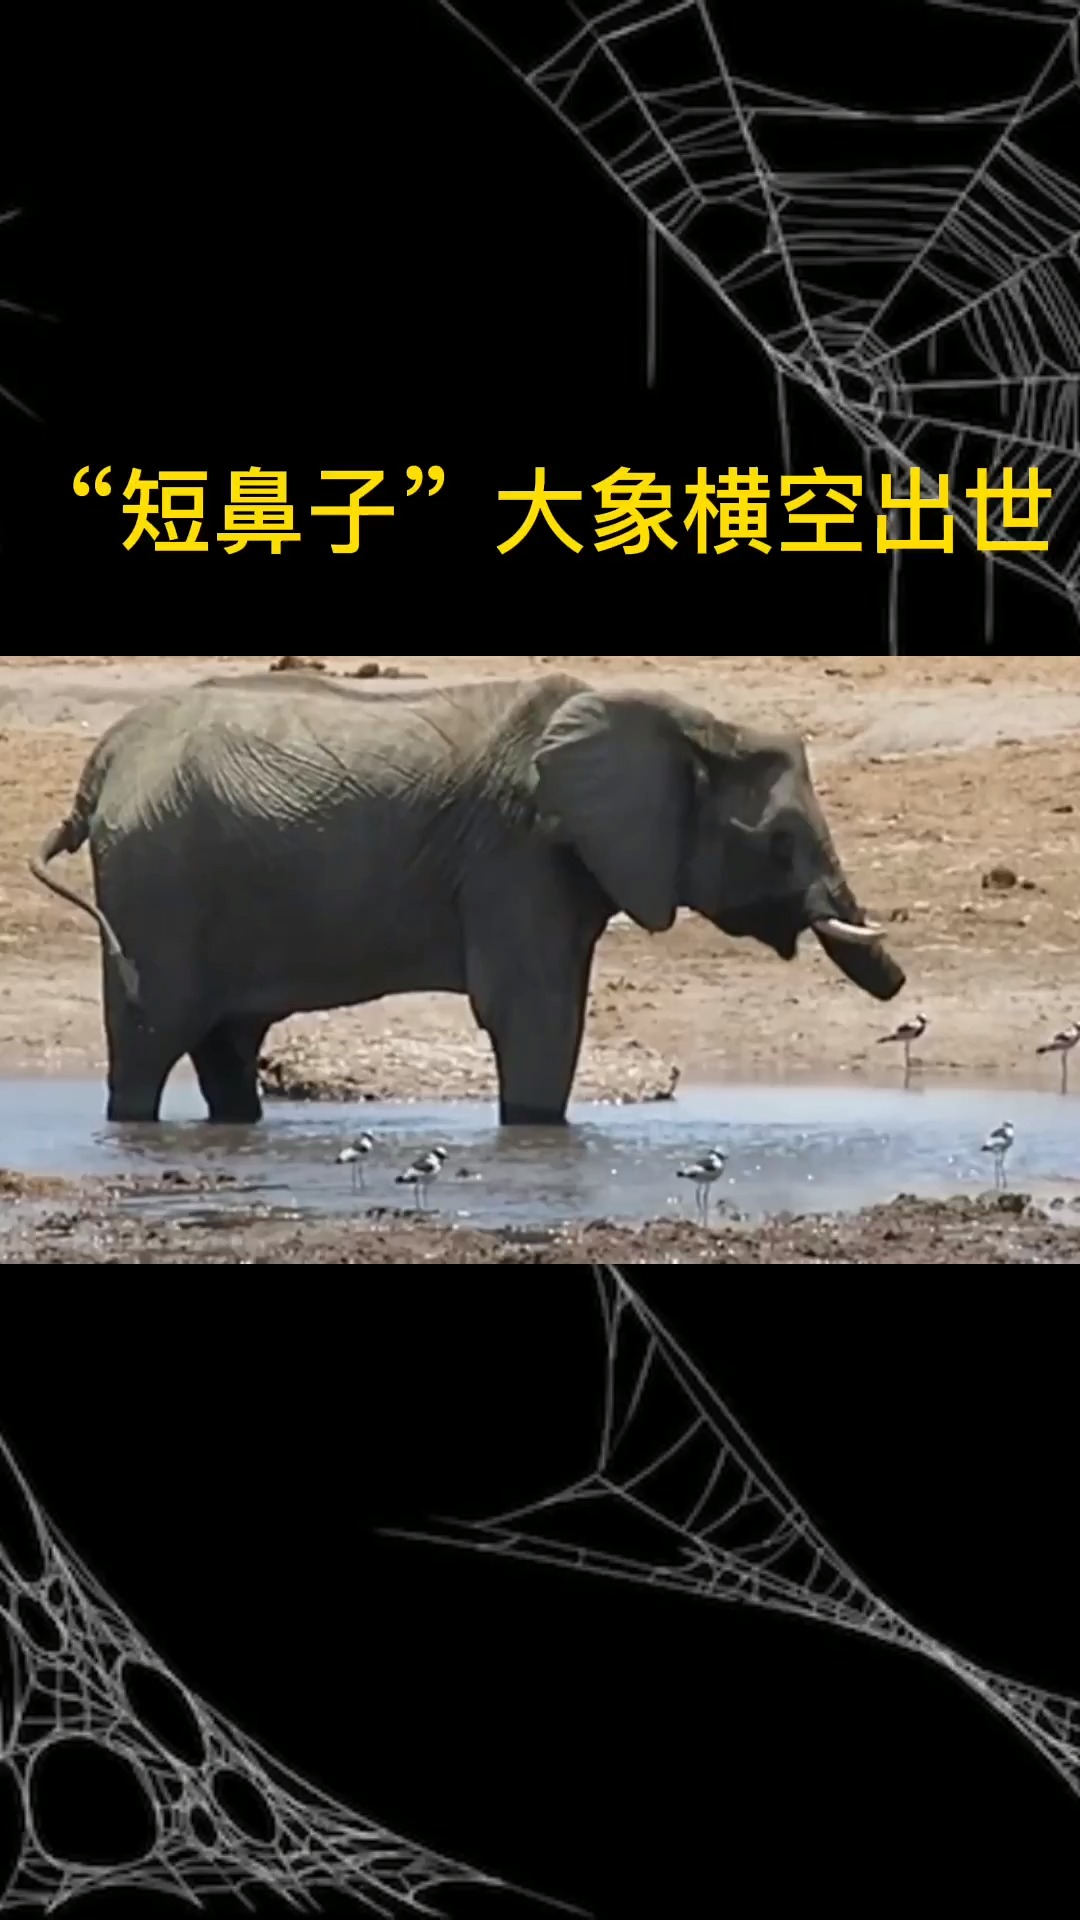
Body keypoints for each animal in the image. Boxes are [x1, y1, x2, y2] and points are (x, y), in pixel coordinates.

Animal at [29, 667, 905, 1126]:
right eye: (780, 840)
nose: (900, 992)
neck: (684, 720)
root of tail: (101, 763)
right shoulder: (518, 852)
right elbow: (536, 1011)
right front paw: (536, 1138)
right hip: (155, 882)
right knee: (150, 1042)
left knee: (225, 1044)